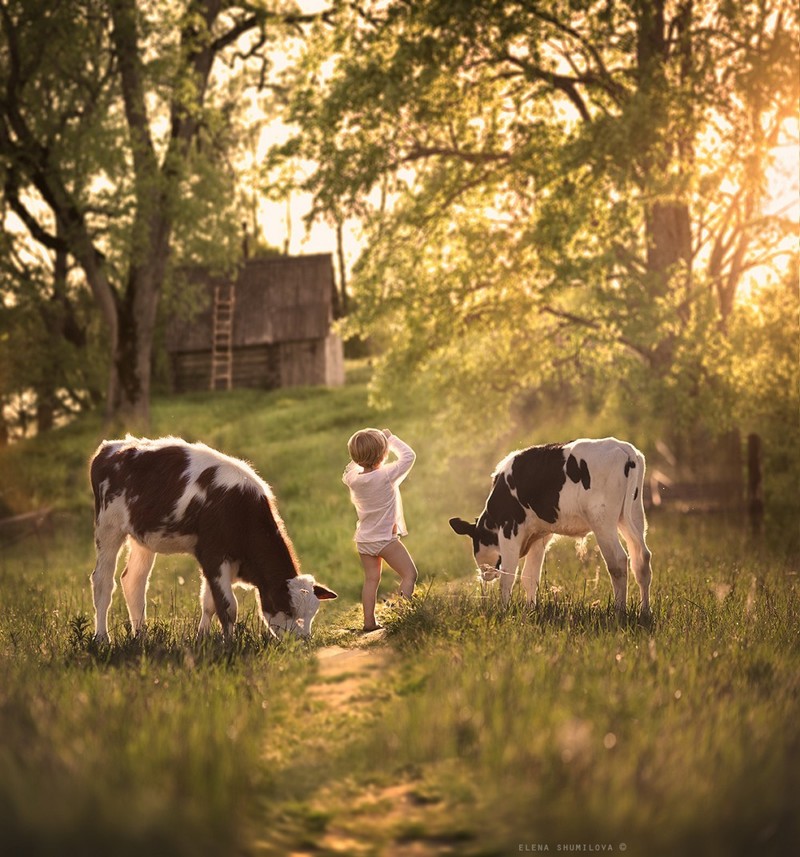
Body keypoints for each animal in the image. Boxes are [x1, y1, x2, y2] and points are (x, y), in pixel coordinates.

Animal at [89, 438, 336, 640]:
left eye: (312, 613)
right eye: (288, 609)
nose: (303, 643)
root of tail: (112, 446)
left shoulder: (217, 561)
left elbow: (209, 603)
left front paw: (203, 639)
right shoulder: (214, 556)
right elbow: (227, 607)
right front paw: (229, 644)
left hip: (142, 539)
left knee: (134, 582)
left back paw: (141, 637)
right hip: (108, 527)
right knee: (103, 582)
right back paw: (102, 638)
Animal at [446, 438, 652, 620]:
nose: (485, 575)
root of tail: (624, 448)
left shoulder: (509, 530)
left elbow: (508, 576)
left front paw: (503, 611)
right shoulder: (540, 534)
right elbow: (530, 577)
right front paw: (529, 610)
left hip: (602, 521)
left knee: (618, 561)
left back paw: (620, 612)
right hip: (633, 516)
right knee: (641, 558)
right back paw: (645, 612)